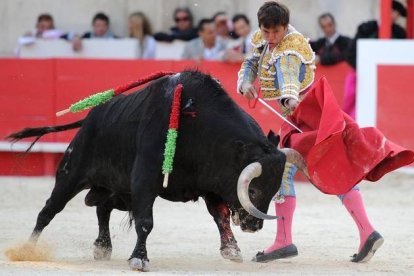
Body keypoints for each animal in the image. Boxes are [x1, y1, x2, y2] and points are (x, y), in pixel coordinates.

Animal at [7, 71, 308, 272]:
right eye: (253, 190)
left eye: (273, 190)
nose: (253, 225)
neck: (198, 125)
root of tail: (91, 117)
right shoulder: (145, 181)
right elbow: (146, 222)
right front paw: (139, 258)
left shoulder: (212, 182)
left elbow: (220, 217)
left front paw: (231, 250)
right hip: (71, 173)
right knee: (48, 211)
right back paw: (28, 249)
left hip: (117, 188)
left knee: (102, 208)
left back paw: (102, 246)